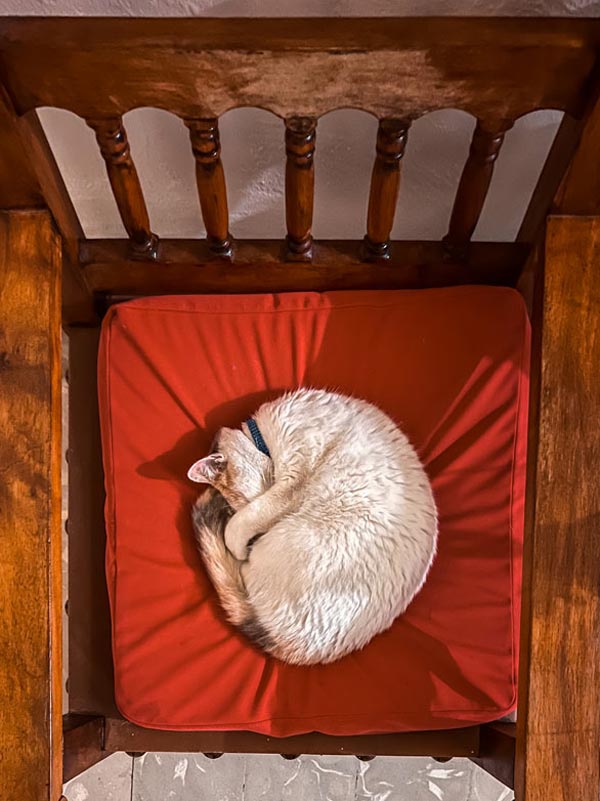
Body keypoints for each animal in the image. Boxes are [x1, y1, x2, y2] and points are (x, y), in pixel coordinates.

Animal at [188, 388, 436, 664]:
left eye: (242, 501)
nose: (255, 539)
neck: (263, 438)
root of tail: (296, 649)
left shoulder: (289, 485)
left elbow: (238, 527)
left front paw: (238, 543)